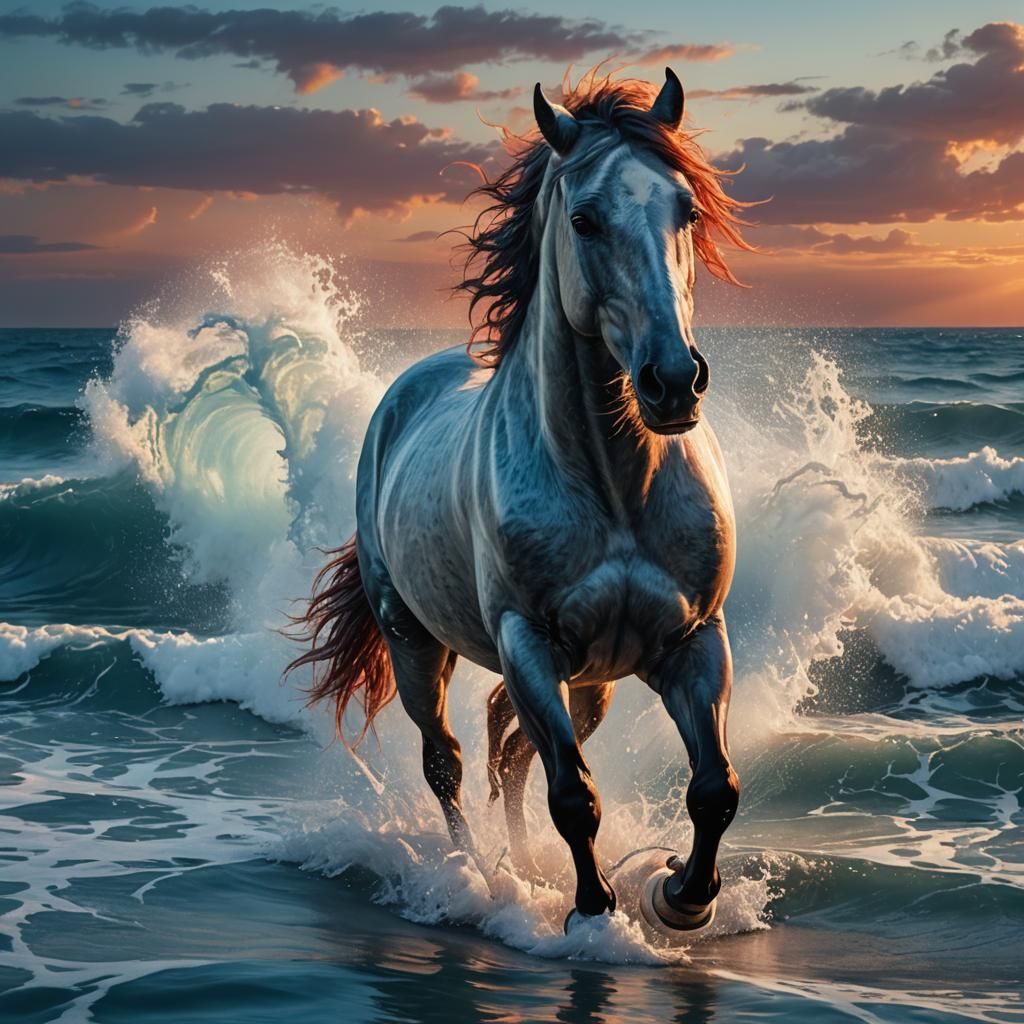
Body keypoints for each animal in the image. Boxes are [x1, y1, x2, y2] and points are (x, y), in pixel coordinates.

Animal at [288, 67, 756, 932]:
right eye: (584, 218)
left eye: (687, 209)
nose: (674, 382)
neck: (616, 490)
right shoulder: (527, 642)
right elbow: (573, 795)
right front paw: (593, 913)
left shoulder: (693, 640)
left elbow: (715, 787)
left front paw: (678, 897)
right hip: (416, 644)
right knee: (451, 761)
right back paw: (476, 878)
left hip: (595, 679)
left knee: (509, 753)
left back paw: (521, 865)